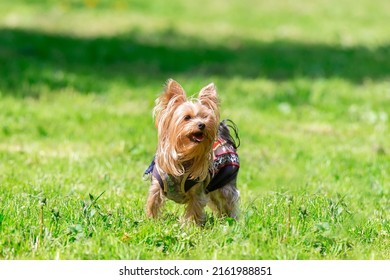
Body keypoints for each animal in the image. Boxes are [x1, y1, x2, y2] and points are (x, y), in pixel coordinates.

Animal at [144, 79, 239, 225]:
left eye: (205, 117)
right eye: (187, 117)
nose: (202, 124)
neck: (184, 155)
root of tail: (225, 137)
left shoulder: (197, 191)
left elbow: (195, 208)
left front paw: (191, 226)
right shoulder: (157, 185)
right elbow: (153, 202)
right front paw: (151, 221)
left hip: (225, 183)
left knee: (229, 200)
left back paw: (232, 221)